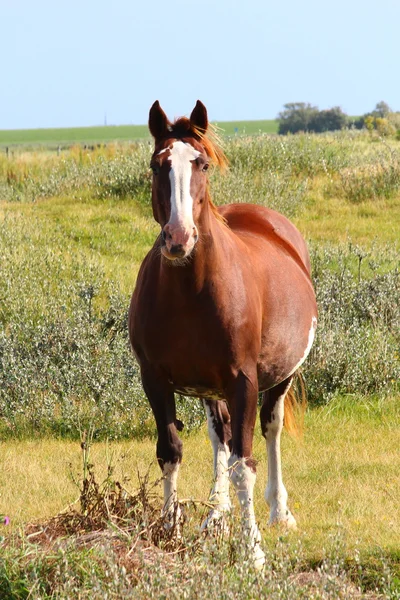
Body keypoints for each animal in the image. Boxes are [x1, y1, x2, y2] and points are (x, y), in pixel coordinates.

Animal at [130, 99, 318, 568]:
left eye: (202, 164)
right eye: (157, 164)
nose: (178, 238)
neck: (190, 289)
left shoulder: (243, 381)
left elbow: (244, 464)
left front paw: (252, 551)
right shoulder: (154, 380)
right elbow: (171, 452)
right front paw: (169, 531)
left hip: (280, 378)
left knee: (269, 431)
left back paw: (279, 512)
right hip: (210, 389)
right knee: (220, 437)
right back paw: (215, 515)